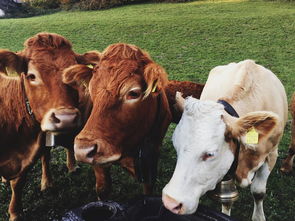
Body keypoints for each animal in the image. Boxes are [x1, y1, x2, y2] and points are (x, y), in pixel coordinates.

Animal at [163, 60, 288, 221]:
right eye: (176, 147)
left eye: (210, 154)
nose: (170, 202)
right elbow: (227, 200)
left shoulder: (271, 154)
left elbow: (258, 192)